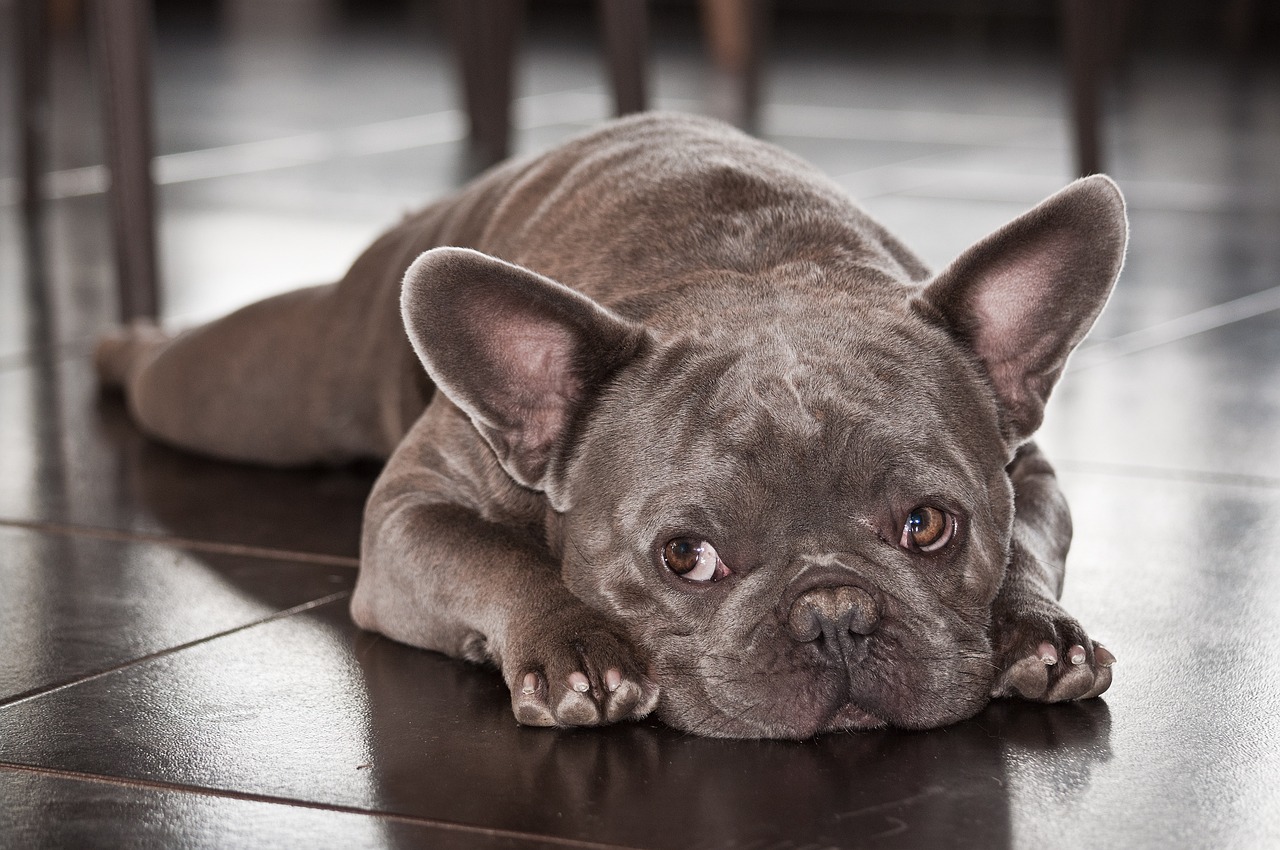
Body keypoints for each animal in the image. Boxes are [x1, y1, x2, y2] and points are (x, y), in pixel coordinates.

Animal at [97, 112, 1121, 737]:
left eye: (927, 526)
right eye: (686, 557)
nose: (836, 616)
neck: (749, 269)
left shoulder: (1033, 474)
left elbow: (1029, 543)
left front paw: (1038, 630)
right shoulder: (406, 520)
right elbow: (496, 557)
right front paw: (574, 648)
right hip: (274, 388)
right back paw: (120, 347)